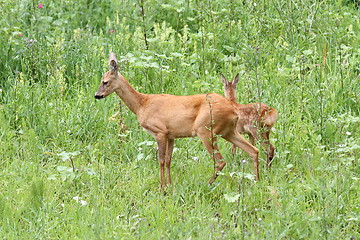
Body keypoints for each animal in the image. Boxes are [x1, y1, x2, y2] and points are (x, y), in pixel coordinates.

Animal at [94, 52, 260, 189]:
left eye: (105, 81)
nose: (97, 95)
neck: (142, 104)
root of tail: (233, 108)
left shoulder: (160, 131)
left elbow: (161, 160)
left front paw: (162, 188)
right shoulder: (171, 135)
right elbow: (168, 160)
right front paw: (170, 185)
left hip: (205, 130)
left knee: (221, 161)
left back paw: (207, 183)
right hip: (228, 131)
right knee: (254, 151)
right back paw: (257, 181)